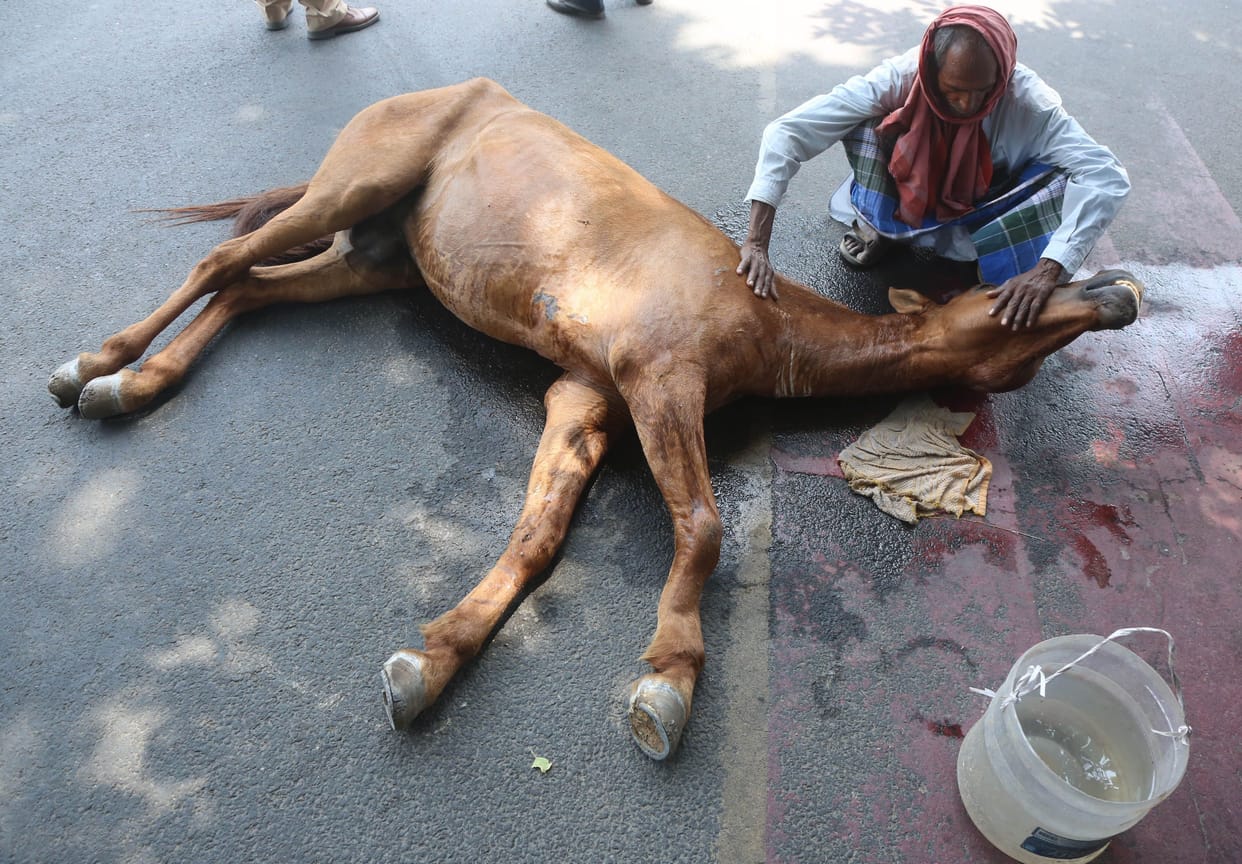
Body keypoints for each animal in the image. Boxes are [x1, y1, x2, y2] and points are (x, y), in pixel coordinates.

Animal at [48, 78, 1143, 759]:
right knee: (222, 259)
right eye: (1005, 303)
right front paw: (669, 681)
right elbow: (700, 528)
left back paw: (136, 385)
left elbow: (537, 536)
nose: (1121, 293)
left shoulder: (587, 398)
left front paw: (428, 663)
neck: (759, 316)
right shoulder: (658, 380)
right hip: (354, 183)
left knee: (253, 289)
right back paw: (90, 369)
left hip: (380, 257)